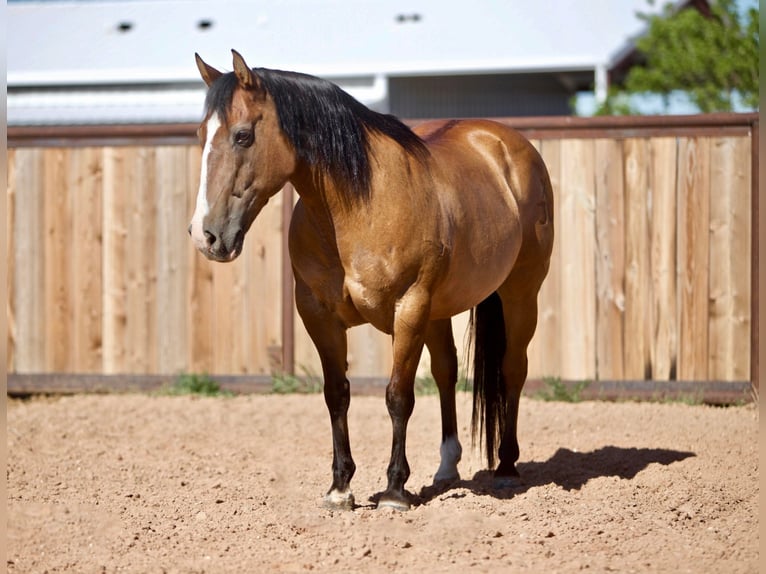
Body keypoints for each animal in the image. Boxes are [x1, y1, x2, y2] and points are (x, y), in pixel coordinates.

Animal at [189, 50, 556, 512]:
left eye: (242, 136)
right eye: (201, 133)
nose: (206, 235)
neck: (357, 206)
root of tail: (507, 144)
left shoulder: (408, 308)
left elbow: (398, 396)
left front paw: (395, 491)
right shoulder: (318, 315)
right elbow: (336, 394)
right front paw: (340, 487)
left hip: (520, 294)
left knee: (512, 369)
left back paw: (506, 466)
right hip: (439, 312)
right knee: (446, 371)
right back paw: (447, 467)